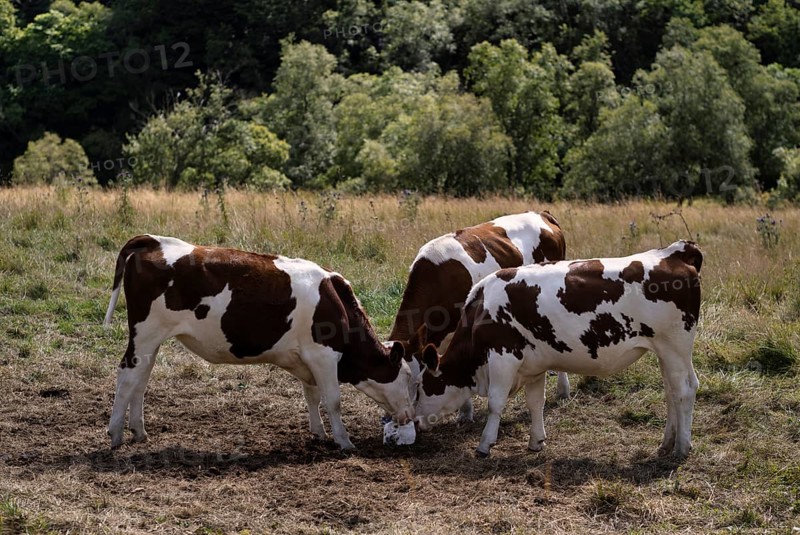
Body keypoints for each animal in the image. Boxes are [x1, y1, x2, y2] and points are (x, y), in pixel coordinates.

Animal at [103, 235, 414, 450]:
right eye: (408, 378)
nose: (410, 416)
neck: (336, 302)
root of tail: (154, 240)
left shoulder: (307, 360)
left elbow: (312, 396)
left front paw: (319, 433)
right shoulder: (323, 355)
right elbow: (333, 400)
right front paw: (345, 442)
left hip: (150, 341)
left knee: (141, 379)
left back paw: (139, 431)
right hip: (145, 333)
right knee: (127, 376)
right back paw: (116, 433)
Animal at [414, 240, 702, 459]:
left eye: (421, 388)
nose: (415, 422)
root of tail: (674, 252)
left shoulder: (503, 358)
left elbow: (496, 403)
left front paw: (485, 444)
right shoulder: (534, 365)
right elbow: (535, 402)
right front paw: (536, 441)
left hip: (675, 347)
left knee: (685, 390)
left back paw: (682, 447)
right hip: (664, 352)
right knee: (671, 393)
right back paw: (667, 443)